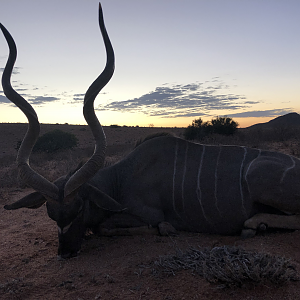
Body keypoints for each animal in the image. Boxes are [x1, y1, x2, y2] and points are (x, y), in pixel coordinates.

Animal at [1, 3, 300, 258]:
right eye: (50, 212)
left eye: (80, 207)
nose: (66, 252)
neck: (120, 179)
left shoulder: (147, 215)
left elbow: (110, 227)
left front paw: (166, 229)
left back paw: (253, 224)